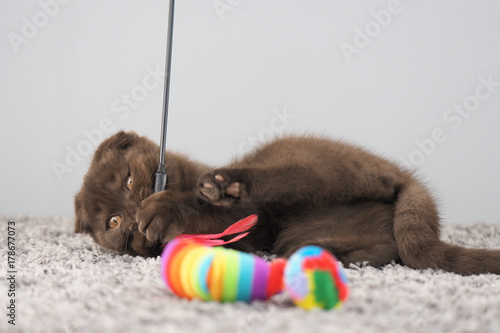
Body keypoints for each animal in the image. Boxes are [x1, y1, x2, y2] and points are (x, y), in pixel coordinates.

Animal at [74, 131, 500, 274]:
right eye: (113, 222)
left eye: (129, 180)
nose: (132, 213)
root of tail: (403, 176)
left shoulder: (239, 216)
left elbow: (200, 206)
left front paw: (162, 210)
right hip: (309, 231)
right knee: (387, 247)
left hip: (297, 156)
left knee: (287, 176)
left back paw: (226, 184)